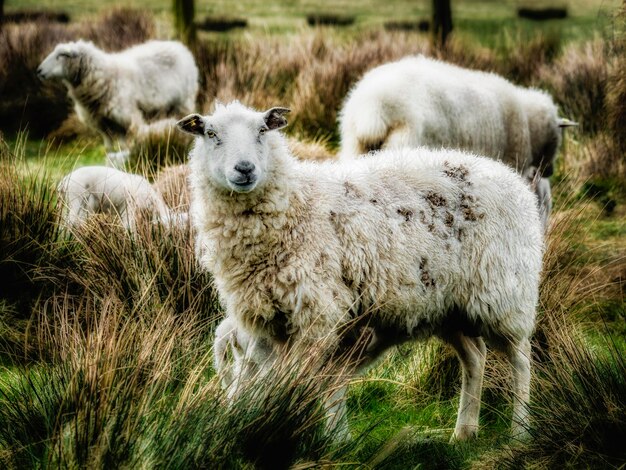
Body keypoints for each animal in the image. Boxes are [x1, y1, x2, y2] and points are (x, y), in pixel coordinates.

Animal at [37, 40, 199, 156]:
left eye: (61, 56)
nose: (39, 71)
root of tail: (179, 46)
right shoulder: (103, 121)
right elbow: (110, 148)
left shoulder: (126, 116)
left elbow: (128, 143)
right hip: (167, 108)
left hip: (184, 102)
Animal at [176, 102, 540, 440]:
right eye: (211, 134)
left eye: (262, 131)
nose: (245, 169)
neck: (296, 205)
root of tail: (511, 179)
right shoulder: (265, 323)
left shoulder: (317, 315)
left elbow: (316, 380)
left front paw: (328, 436)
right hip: (449, 305)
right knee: (474, 357)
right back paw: (463, 432)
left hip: (503, 293)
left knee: (521, 358)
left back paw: (519, 431)